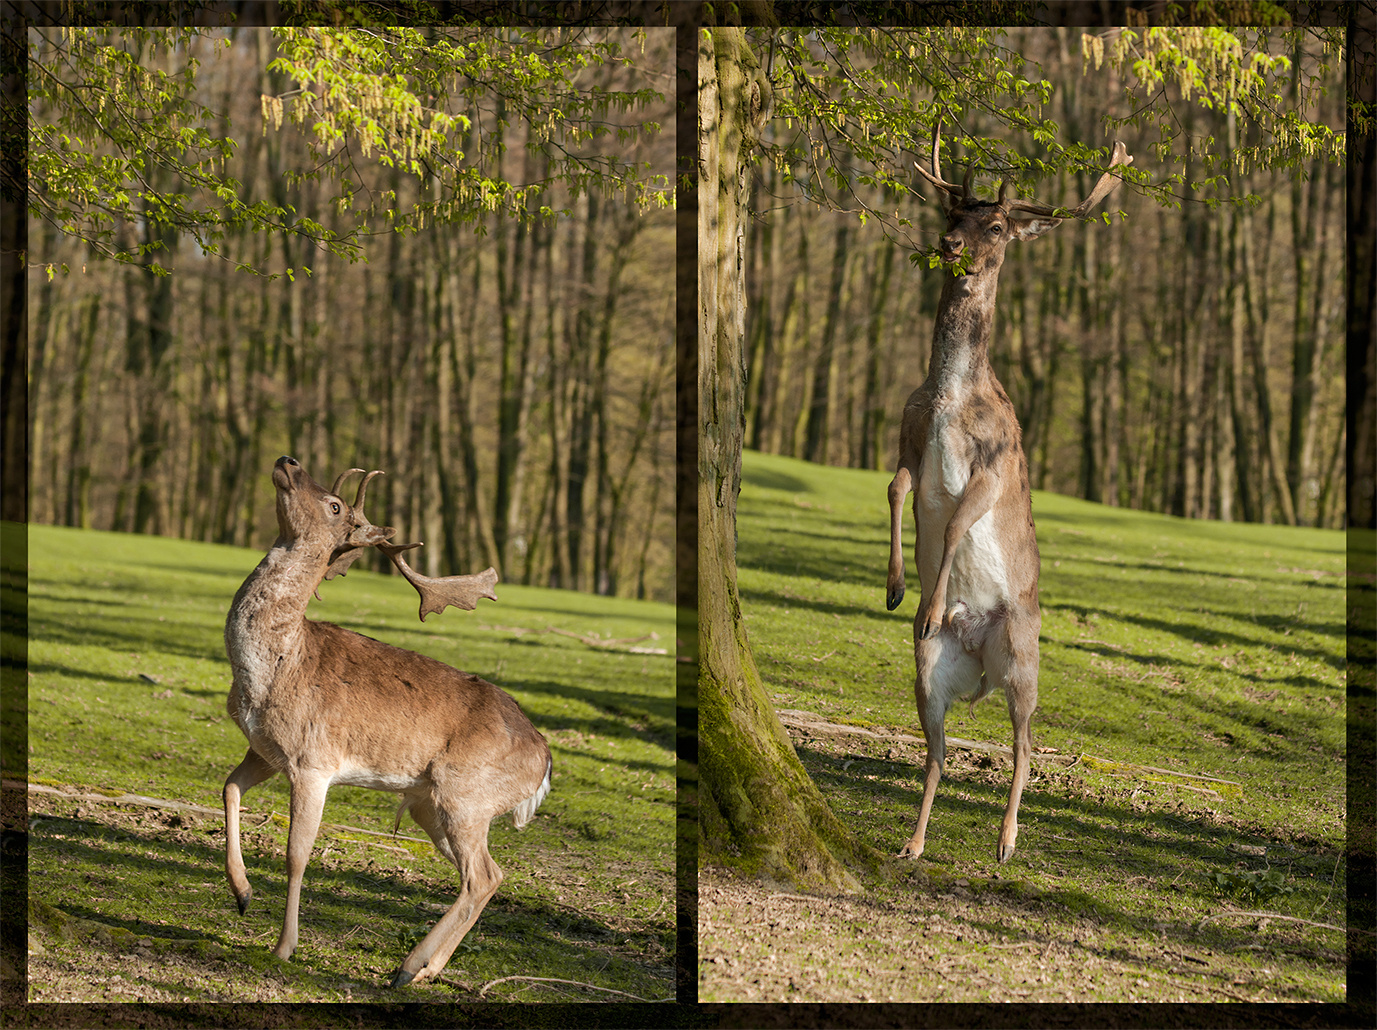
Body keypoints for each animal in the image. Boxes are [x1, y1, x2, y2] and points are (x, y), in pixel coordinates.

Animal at [223, 454, 550, 985]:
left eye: (334, 505)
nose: (288, 460)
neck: (275, 665)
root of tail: (544, 762)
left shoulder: (314, 761)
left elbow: (297, 854)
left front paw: (284, 947)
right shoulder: (266, 751)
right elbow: (229, 789)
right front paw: (242, 892)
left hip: (466, 796)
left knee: (480, 875)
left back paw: (408, 966)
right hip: (431, 807)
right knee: (491, 875)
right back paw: (427, 970)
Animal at [886, 118, 1134, 859]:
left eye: (995, 225)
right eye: (950, 215)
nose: (951, 247)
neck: (948, 398)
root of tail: (980, 669)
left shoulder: (993, 465)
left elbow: (954, 521)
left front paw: (929, 602)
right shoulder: (906, 437)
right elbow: (897, 489)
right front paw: (899, 588)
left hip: (1025, 655)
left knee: (1027, 742)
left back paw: (1007, 840)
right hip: (929, 675)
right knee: (938, 751)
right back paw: (913, 843)